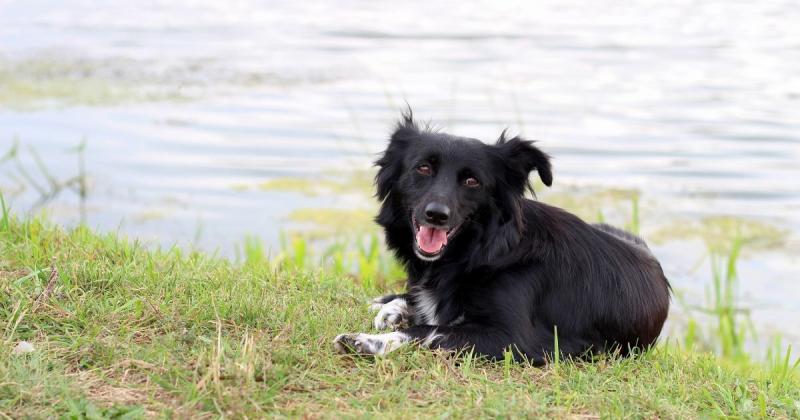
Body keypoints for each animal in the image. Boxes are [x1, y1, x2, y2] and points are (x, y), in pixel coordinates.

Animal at [334, 112, 672, 364]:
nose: (436, 215)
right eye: (423, 168)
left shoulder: (513, 338)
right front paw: (390, 311)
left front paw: (367, 341)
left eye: (472, 181)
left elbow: (427, 330)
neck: (482, 252)